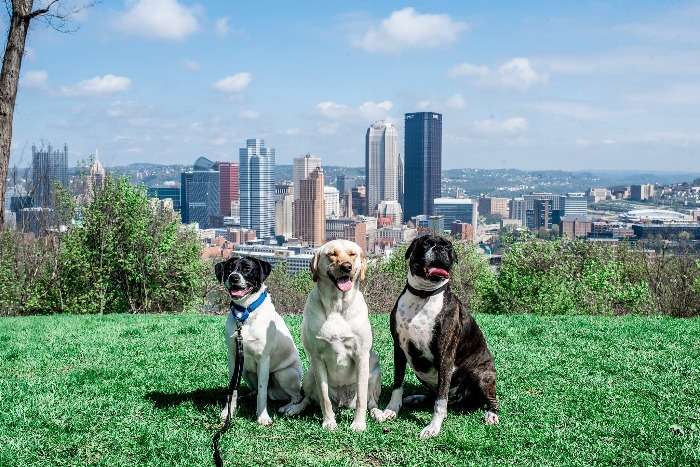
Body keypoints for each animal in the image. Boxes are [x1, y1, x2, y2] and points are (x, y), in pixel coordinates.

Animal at [216, 258, 304, 426]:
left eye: (247, 268)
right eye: (229, 268)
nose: (233, 277)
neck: (245, 312)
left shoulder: (263, 359)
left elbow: (262, 391)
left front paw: (262, 417)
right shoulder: (233, 357)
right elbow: (232, 388)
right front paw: (227, 412)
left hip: (284, 374)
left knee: (295, 396)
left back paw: (287, 407)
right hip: (245, 370)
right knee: (255, 389)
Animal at [278, 241, 380, 432]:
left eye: (352, 254)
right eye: (332, 254)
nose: (346, 267)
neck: (337, 305)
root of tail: (343, 402)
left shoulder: (362, 355)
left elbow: (362, 398)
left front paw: (358, 424)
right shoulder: (317, 358)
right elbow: (323, 397)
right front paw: (329, 421)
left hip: (374, 369)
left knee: (371, 401)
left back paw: (380, 413)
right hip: (309, 374)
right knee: (309, 398)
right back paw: (295, 408)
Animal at [378, 238, 498, 438]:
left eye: (449, 247)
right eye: (425, 244)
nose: (440, 249)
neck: (423, 295)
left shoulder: (445, 354)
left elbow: (441, 400)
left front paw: (433, 426)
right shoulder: (399, 349)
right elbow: (398, 383)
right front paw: (391, 410)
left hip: (482, 374)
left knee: (489, 399)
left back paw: (491, 414)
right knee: (433, 395)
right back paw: (416, 398)